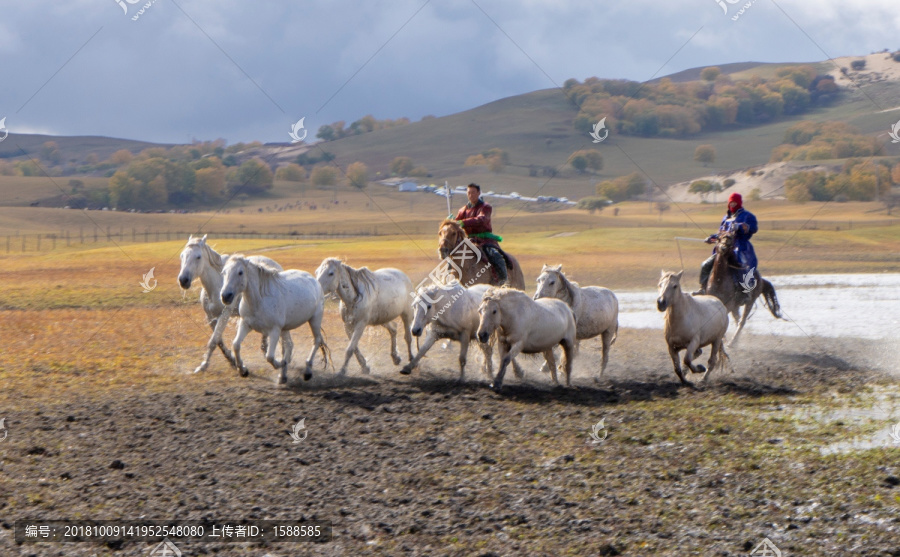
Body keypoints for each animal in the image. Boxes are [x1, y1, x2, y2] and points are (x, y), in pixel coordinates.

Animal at [176, 235, 282, 374]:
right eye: (182, 255)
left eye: (198, 256)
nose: (183, 280)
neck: (216, 286)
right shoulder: (210, 317)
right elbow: (218, 341)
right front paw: (232, 360)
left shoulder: (224, 315)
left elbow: (213, 340)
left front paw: (203, 365)